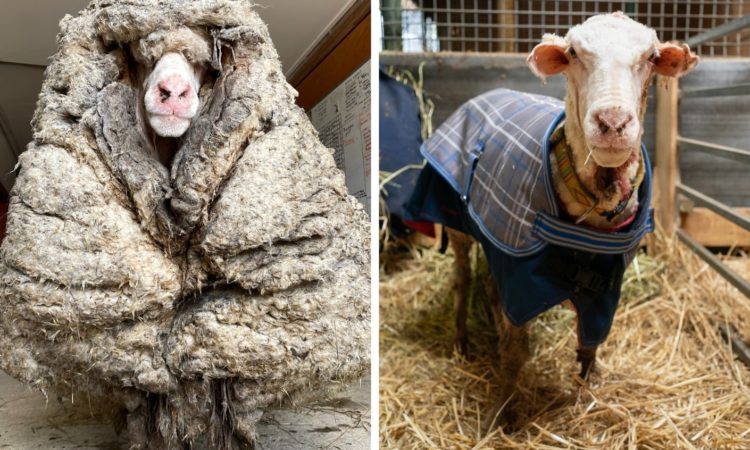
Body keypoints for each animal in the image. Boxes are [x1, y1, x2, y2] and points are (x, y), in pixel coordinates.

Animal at [408, 12, 697, 430]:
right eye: (574, 53)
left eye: (651, 57)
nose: (612, 122)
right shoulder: (520, 280)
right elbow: (516, 351)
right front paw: (501, 414)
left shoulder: (605, 287)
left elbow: (591, 343)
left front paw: (588, 389)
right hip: (456, 225)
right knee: (462, 280)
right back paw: (461, 340)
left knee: (490, 287)